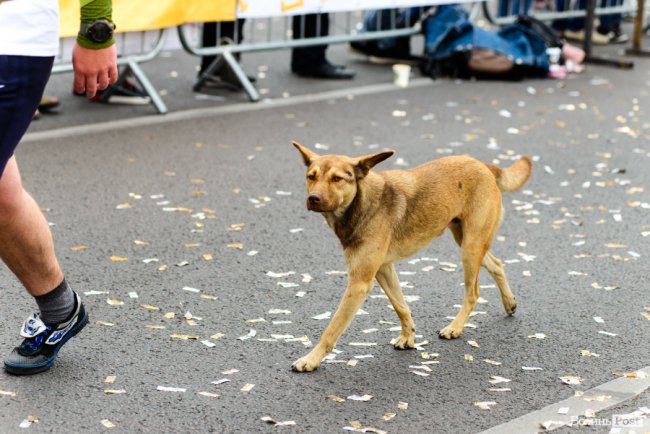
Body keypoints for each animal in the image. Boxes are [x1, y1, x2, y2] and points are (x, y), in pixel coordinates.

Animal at [292, 141, 528, 372]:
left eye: (337, 179)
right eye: (311, 176)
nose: (313, 199)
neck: (361, 202)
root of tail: (484, 165)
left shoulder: (359, 283)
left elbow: (332, 329)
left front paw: (311, 359)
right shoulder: (384, 269)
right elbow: (401, 306)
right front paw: (409, 336)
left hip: (470, 248)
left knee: (473, 293)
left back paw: (455, 327)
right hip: (466, 241)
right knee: (497, 264)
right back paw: (509, 303)